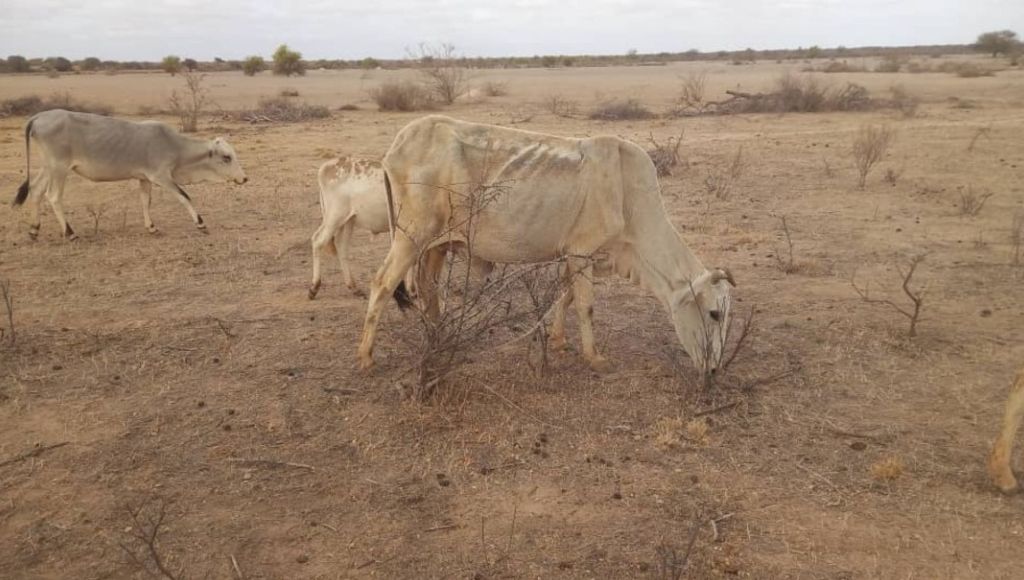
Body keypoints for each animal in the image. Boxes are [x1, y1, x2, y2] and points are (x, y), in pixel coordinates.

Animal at [11, 109, 247, 240]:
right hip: (59, 168)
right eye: (227, 157)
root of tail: (39, 116)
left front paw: (151, 228)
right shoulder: (161, 177)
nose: (244, 178)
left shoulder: (144, 178)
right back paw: (70, 233)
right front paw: (200, 224)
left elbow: (145, 201)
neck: (176, 146)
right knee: (53, 196)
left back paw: (34, 230)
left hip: (48, 167)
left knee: (36, 191)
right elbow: (184, 196)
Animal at [357, 115, 735, 374]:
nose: (714, 369)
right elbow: (585, 305)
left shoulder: (582, 255)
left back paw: (438, 336)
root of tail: (397, 144)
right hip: (411, 235)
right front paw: (594, 357)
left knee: (428, 287)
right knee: (383, 283)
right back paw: (366, 357)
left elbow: (565, 296)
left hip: (435, 245)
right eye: (714, 313)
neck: (630, 198)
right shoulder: (582, 251)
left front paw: (558, 339)